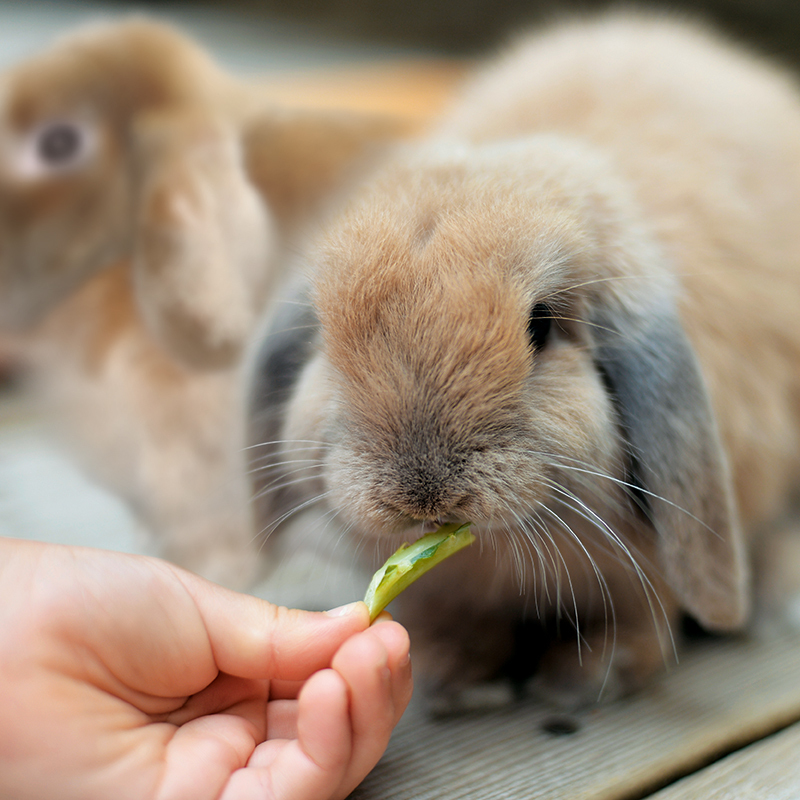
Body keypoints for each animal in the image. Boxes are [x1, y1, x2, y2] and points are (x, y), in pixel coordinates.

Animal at [248, 7, 800, 708]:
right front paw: (456, 676)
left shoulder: (646, 574)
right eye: (323, 331)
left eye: (542, 326)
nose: (421, 494)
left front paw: (587, 678)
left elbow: (638, 615)